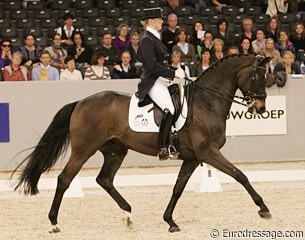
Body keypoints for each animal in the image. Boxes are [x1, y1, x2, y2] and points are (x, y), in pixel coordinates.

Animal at [13, 54, 272, 232]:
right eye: (258, 77)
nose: (260, 109)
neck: (205, 102)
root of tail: (80, 102)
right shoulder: (208, 152)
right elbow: (240, 175)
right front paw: (263, 208)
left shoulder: (192, 158)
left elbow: (178, 188)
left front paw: (170, 221)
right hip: (84, 149)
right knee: (65, 179)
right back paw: (54, 223)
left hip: (116, 151)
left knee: (104, 180)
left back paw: (128, 214)